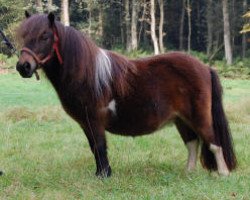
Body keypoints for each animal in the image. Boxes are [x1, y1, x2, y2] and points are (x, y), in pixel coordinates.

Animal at [16, 13, 236, 177]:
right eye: (24, 35)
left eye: (44, 36)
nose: (23, 66)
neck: (87, 75)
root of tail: (205, 67)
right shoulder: (86, 123)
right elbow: (94, 147)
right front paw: (100, 173)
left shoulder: (95, 121)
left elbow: (99, 146)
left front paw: (104, 175)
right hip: (181, 119)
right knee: (192, 143)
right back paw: (188, 172)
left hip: (199, 117)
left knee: (214, 144)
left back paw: (223, 174)